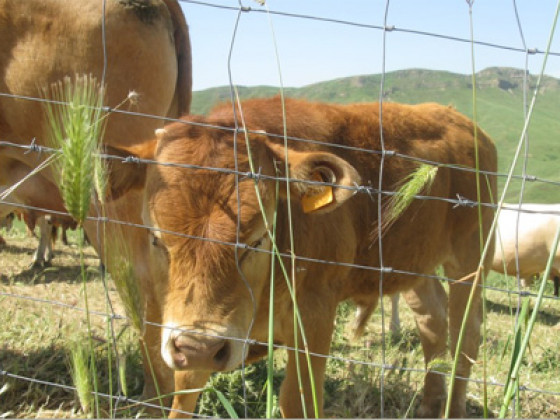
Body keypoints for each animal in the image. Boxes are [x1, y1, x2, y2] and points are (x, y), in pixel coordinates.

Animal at [110, 96, 498, 416]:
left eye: (258, 238)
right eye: (156, 238)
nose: (201, 347)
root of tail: (458, 119)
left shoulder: (314, 313)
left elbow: (297, 400)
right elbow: (185, 390)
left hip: (471, 257)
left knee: (465, 335)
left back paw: (452, 409)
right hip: (415, 263)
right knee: (433, 322)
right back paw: (431, 404)